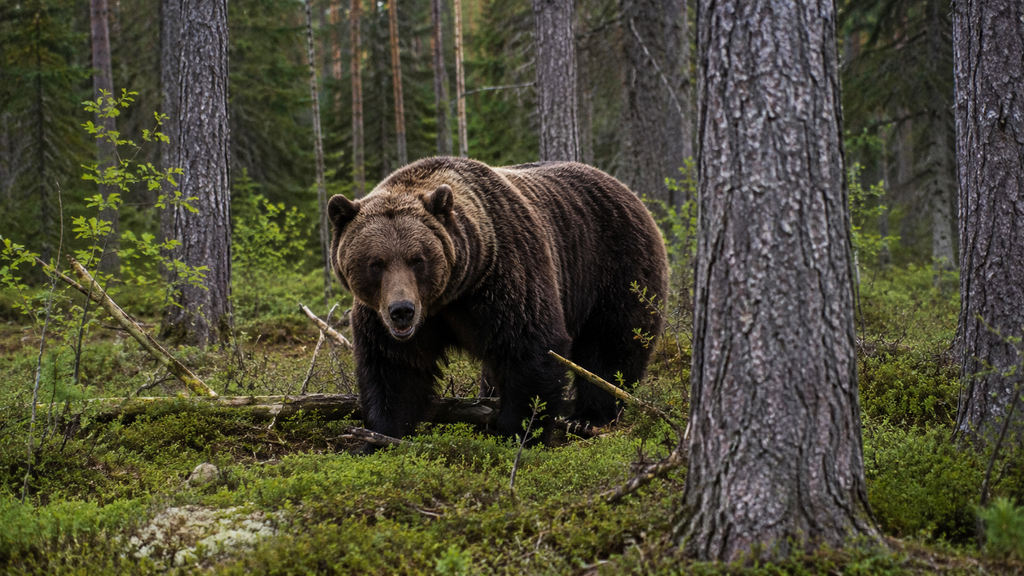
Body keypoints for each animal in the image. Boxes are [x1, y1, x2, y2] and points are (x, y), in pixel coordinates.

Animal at [327, 156, 669, 450]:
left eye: (417, 259)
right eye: (376, 263)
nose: (402, 311)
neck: (450, 296)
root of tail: (627, 190)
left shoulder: (504, 279)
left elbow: (529, 350)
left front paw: (516, 434)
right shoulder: (388, 318)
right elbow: (393, 369)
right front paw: (378, 440)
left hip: (613, 267)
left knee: (611, 344)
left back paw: (589, 417)